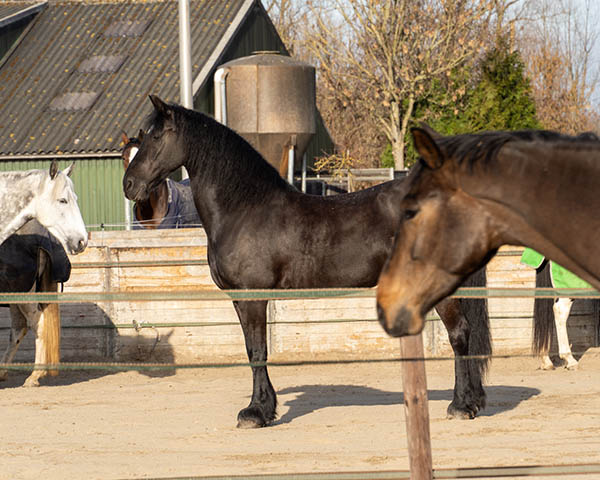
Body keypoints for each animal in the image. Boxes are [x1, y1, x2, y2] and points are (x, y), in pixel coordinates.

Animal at [123, 96, 492, 428]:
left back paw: (461, 406)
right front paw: (265, 408)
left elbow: (258, 351)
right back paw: (474, 401)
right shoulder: (240, 299)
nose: (129, 185)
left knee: (459, 334)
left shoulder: (253, 297)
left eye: (157, 137)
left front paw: (255, 413)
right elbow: (250, 349)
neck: (245, 208)